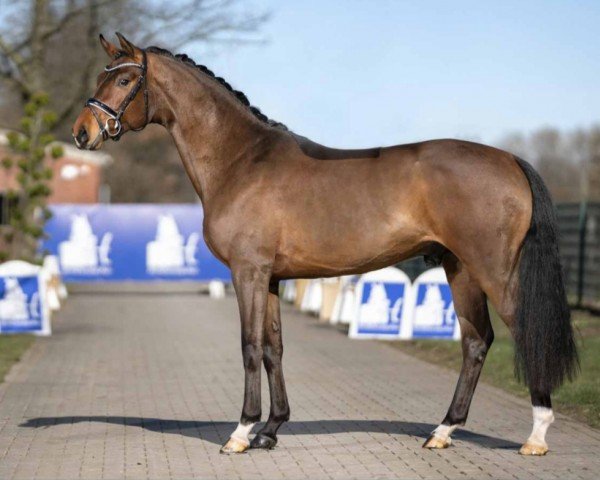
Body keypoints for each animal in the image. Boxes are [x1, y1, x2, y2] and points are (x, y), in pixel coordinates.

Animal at [72, 34, 580, 458]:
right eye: (101, 76)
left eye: (123, 79)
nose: (82, 133)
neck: (241, 159)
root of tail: (509, 159)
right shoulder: (271, 277)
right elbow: (274, 348)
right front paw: (271, 429)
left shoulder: (248, 272)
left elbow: (250, 346)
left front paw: (241, 432)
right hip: (460, 269)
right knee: (476, 342)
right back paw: (443, 431)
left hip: (492, 269)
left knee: (522, 333)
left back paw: (536, 437)